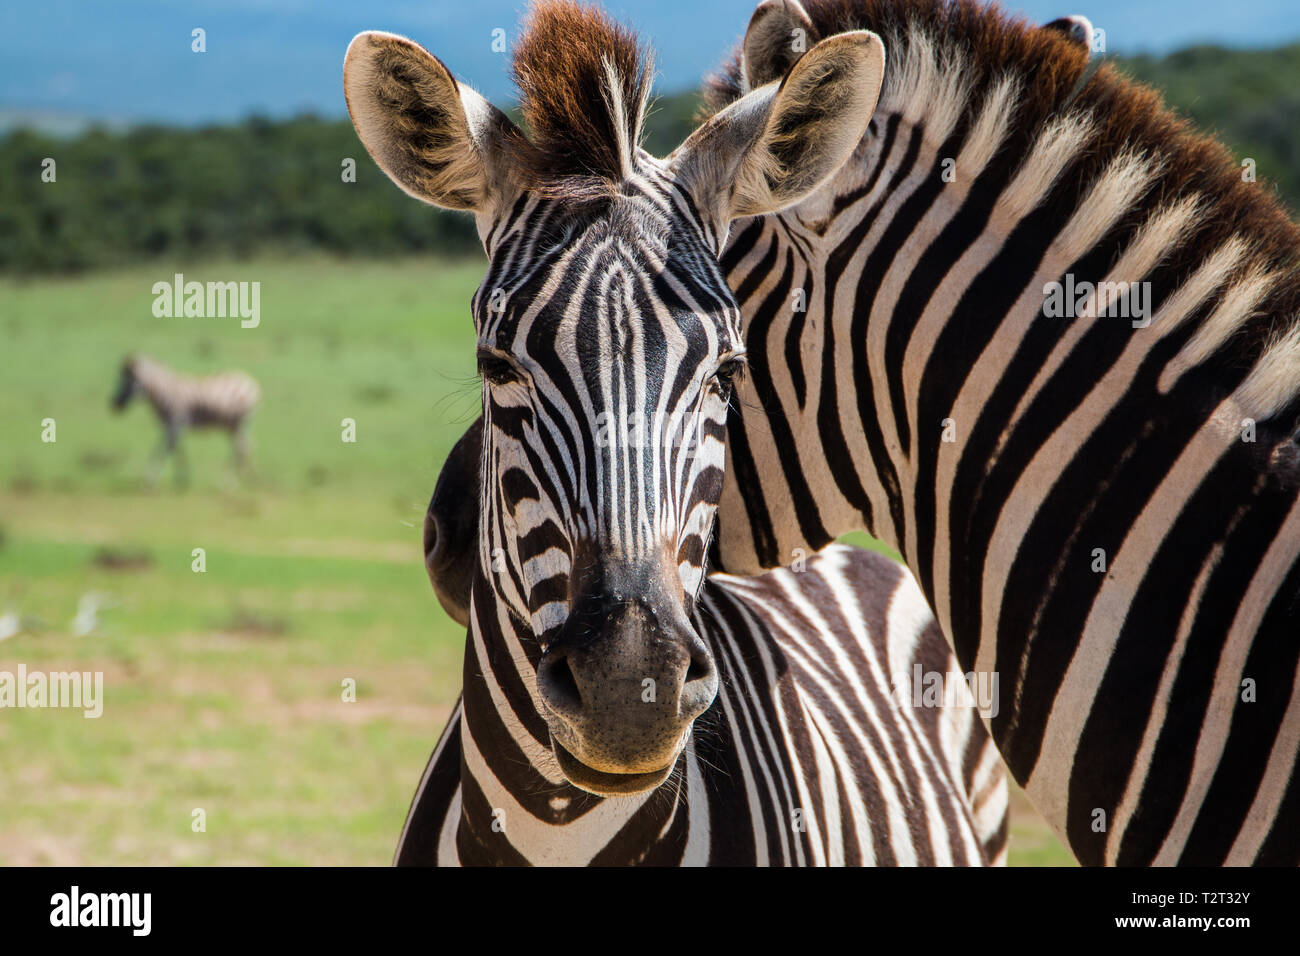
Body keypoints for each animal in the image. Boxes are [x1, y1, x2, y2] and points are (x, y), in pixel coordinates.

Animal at [111, 354, 260, 486]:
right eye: (121, 379)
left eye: (127, 382)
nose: (114, 405)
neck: (164, 394)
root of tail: (250, 382)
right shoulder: (173, 426)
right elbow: (176, 449)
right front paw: (182, 480)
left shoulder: (175, 423)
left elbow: (163, 450)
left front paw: (149, 480)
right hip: (233, 425)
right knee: (244, 447)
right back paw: (244, 478)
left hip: (238, 423)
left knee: (241, 448)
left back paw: (230, 482)